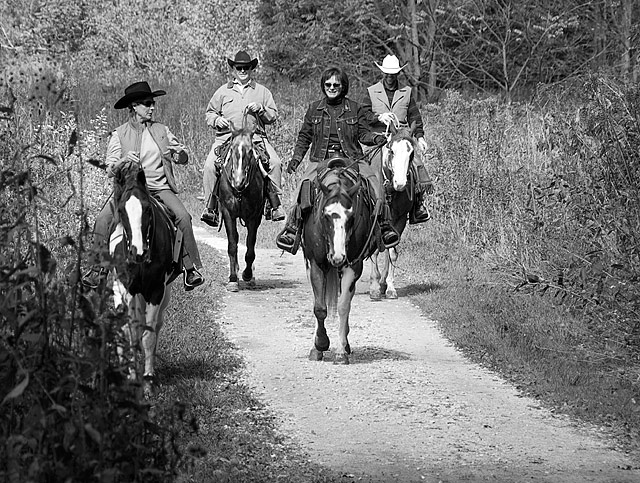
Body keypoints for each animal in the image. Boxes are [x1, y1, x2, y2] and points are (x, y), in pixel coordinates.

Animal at [107, 163, 178, 398]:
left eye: (147, 209)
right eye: (121, 210)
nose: (138, 252)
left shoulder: (156, 291)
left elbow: (148, 336)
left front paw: (147, 381)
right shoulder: (127, 289)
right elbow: (131, 333)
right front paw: (132, 378)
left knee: (155, 326)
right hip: (119, 292)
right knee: (123, 325)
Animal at [304, 159, 378, 366]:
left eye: (351, 217)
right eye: (325, 215)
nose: (337, 257)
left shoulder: (353, 266)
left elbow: (344, 307)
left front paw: (340, 352)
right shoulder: (316, 264)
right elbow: (320, 308)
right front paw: (320, 345)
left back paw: (345, 345)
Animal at [368, 123, 418, 300]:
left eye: (411, 153)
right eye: (391, 151)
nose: (400, 183)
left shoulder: (400, 220)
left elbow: (392, 252)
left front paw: (389, 287)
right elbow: (375, 250)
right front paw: (374, 287)